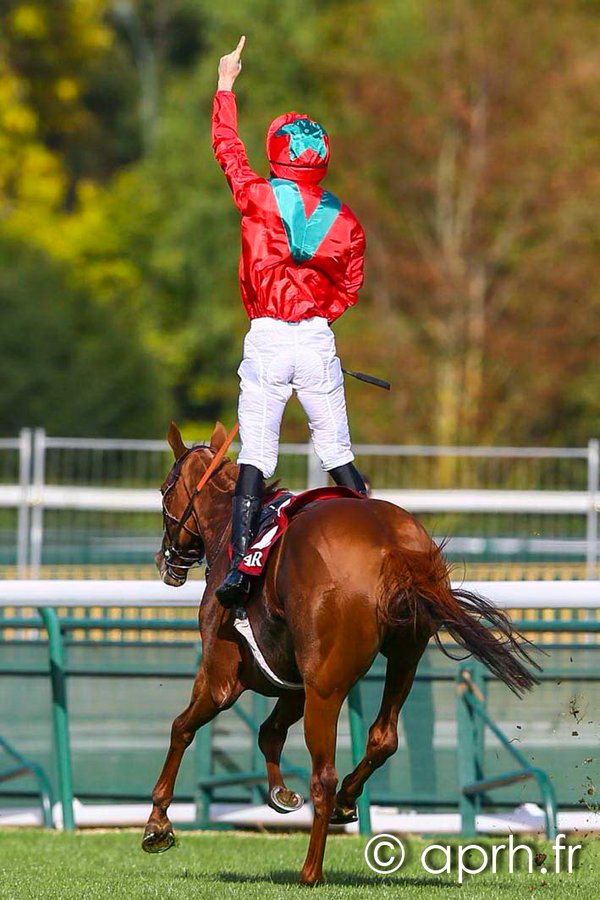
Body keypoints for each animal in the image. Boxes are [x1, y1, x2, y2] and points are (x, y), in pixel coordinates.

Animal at [143, 424, 536, 884]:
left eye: (164, 491)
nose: (165, 559)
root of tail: (391, 546)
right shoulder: (295, 680)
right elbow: (269, 731)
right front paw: (280, 793)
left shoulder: (225, 676)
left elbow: (181, 728)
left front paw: (157, 824)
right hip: (403, 656)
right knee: (383, 738)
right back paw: (348, 800)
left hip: (328, 687)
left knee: (324, 776)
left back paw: (311, 870)